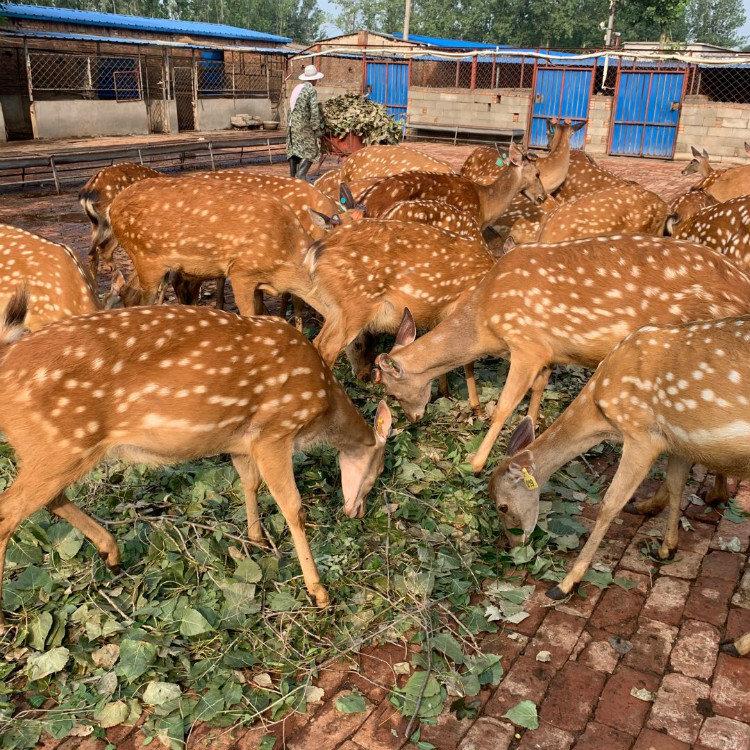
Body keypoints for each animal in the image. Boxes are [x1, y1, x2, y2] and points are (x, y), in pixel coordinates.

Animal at [0, 296, 394, 624]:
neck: (322, 403)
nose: (357, 512)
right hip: (60, 444)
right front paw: (319, 592)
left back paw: (111, 553)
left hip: (53, 451)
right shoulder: (274, 431)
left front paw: (257, 538)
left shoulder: (240, 441)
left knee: (50, 499)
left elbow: (248, 482)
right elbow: (293, 508)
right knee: (9, 512)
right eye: (376, 472)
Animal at [308, 219, 496, 412]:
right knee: (327, 347)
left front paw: (443, 393)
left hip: (336, 309)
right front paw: (477, 407)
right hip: (355, 306)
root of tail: (316, 251)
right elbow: (468, 361)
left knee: (317, 342)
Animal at [376, 236, 750, 470]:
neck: (485, 320)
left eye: (391, 392)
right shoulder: (547, 351)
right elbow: (538, 390)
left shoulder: (526, 342)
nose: (414, 418)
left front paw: (475, 463)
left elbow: (505, 405)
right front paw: (529, 432)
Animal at [488, 316, 750, 612]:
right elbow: (676, 485)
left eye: (502, 506)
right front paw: (667, 548)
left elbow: (610, 503)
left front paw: (565, 584)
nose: (512, 546)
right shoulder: (676, 440)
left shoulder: (641, 434)